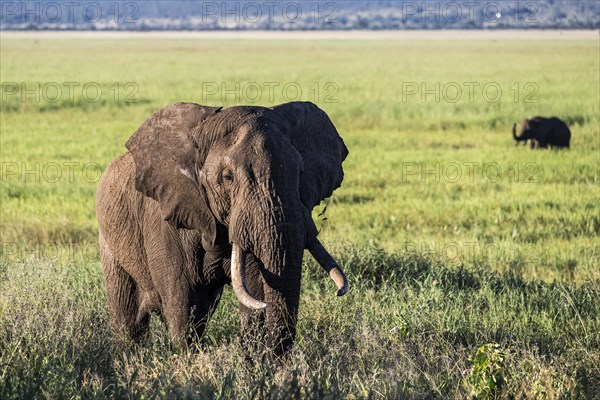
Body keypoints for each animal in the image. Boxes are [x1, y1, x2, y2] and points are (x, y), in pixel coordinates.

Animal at [96, 101, 350, 354]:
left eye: (300, 173)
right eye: (227, 178)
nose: (339, 291)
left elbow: (254, 294)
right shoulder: (165, 222)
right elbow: (183, 305)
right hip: (109, 242)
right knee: (128, 318)